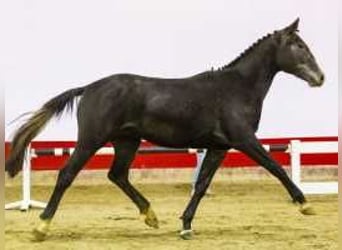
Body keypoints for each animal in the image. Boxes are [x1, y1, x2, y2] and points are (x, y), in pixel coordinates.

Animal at [5, 17, 324, 240]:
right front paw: (305, 205)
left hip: (127, 141)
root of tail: (89, 88)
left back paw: (151, 216)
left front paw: (185, 226)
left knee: (117, 175)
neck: (237, 89)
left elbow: (201, 185)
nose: (319, 77)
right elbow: (276, 167)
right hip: (91, 140)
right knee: (67, 174)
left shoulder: (219, 147)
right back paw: (41, 227)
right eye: (298, 46)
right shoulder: (244, 139)